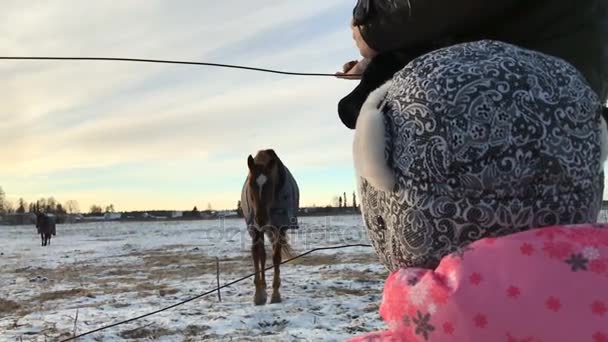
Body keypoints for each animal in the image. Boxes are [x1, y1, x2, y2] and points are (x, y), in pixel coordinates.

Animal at [241, 148, 300, 306]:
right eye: (250, 184)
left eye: (271, 185)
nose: (261, 220)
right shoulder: (254, 229)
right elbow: (257, 255)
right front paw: (259, 295)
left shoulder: (279, 227)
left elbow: (276, 258)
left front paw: (275, 294)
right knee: (261, 254)